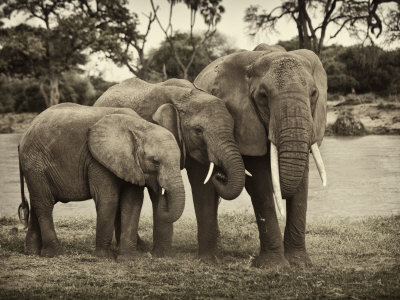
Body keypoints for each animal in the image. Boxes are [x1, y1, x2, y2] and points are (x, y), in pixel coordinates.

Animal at [18, 103, 184, 258]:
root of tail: (24, 135)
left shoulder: (132, 165)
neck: (140, 125)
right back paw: (55, 253)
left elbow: (133, 202)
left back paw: (32, 252)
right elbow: (108, 199)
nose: (163, 194)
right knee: (44, 204)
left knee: (37, 203)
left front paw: (127, 258)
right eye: (156, 162)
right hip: (35, 164)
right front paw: (104, 257)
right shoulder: (97, 160)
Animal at [95, 78, 245, 258]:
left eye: (233, 127)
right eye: (198, 130)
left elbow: (201, 186)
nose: (220, 175)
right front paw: (162, 255)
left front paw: (207, 258)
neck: (185, 97)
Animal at [194, 43, 328, 266]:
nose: (220, 174)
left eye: (314, 93)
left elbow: (302, 183)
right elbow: (259, 184)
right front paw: (274, 265)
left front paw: (300, 263)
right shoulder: (245, 122)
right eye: (263, 97)